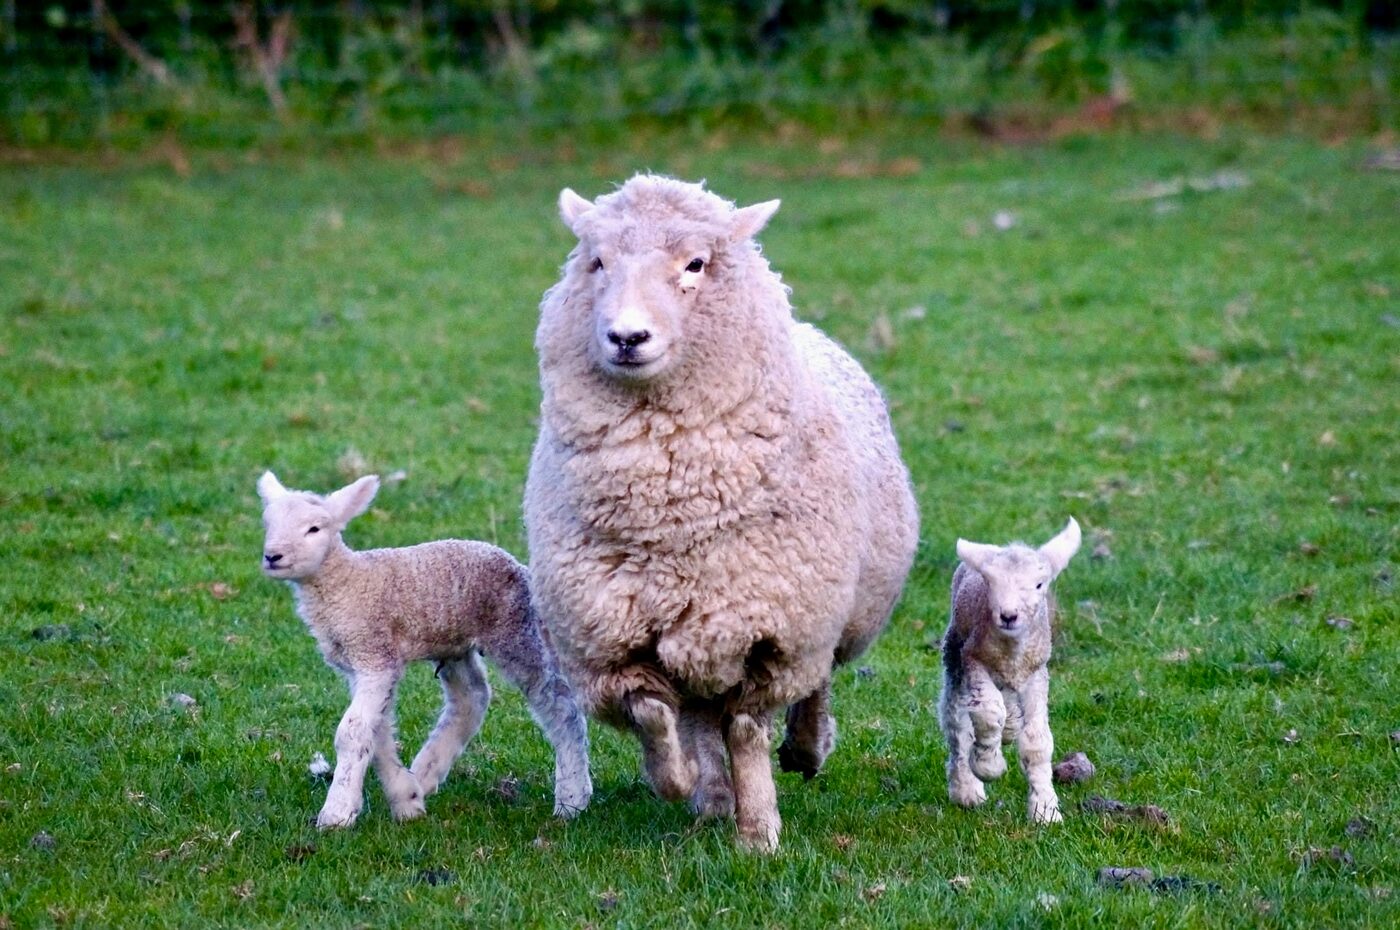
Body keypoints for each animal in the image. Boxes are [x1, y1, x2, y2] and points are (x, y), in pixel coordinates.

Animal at [256, 470, 592, 829]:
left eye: (314, 529)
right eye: (268, 524)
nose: (273, 556)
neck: (346, 583)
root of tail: (520, 569)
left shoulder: (373, 654)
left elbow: (353, 731)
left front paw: (337, 812)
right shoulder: (366, 665)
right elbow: (377, 734)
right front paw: (406, 799)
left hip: (516, 632)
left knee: (561, 709)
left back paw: (572, 798)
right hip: (454, 642)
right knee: (471, 698)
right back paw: (426, 773)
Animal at [523, 175, 919, 851]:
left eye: (696, 264)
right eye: (596, 261)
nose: (627, 338)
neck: (669, 515)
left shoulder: (772, 633)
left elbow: (746, 732)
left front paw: (759, 832)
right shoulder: (612, 642)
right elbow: (657, 715)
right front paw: (681, 782)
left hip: (831, 609)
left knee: (815, 684)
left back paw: (806, 750)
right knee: (698, 715)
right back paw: (709, 796)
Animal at [938, 517, 1081, 824]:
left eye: (1039, 584)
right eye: (990, 583)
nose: (1008, 615)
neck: (1010, 651)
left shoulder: (1037, 674)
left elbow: (1037, 743)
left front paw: (1045, 810)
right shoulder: (974, 659)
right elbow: (988, 714)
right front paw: (988, 765)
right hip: (954, 652)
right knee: (957, 724)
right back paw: (966, 789)